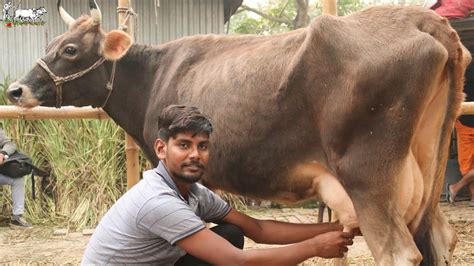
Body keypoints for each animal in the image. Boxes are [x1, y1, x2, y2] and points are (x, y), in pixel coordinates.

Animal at [5, 1, 472, 264]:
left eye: (70, 50)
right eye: (52, 45)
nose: (16, 90)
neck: (153, 76)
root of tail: (426, 23)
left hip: (368, 176)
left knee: (400, 253)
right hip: (423, 174)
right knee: (442, 239)